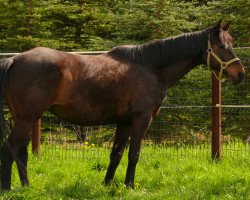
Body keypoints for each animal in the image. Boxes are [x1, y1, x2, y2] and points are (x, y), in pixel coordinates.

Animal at [0, 20, 245, 191]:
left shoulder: (124, 122)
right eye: (221, 45)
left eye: (231, 43)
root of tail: (14, 59)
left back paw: (26, 186)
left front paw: (107, 184)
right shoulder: (141, 119)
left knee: (20, 152)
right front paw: (130, 185)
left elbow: (116, 153)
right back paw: (9, 187)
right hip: (26, 119)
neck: (151, 67)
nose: (240, 74)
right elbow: (134, 154)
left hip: (26, 118)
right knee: (9, 148)